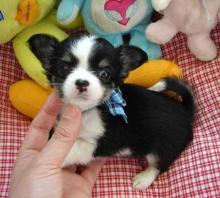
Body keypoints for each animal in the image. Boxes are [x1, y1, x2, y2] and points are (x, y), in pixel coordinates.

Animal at [28, 33, 194, 189]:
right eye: (64, 68)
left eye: (104, 74)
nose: (81, 82)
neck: (86, 111)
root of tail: (186, 111)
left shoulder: (102, 143)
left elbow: (74, 149)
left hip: (164, 148)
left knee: (159, 165)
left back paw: (144, 178)